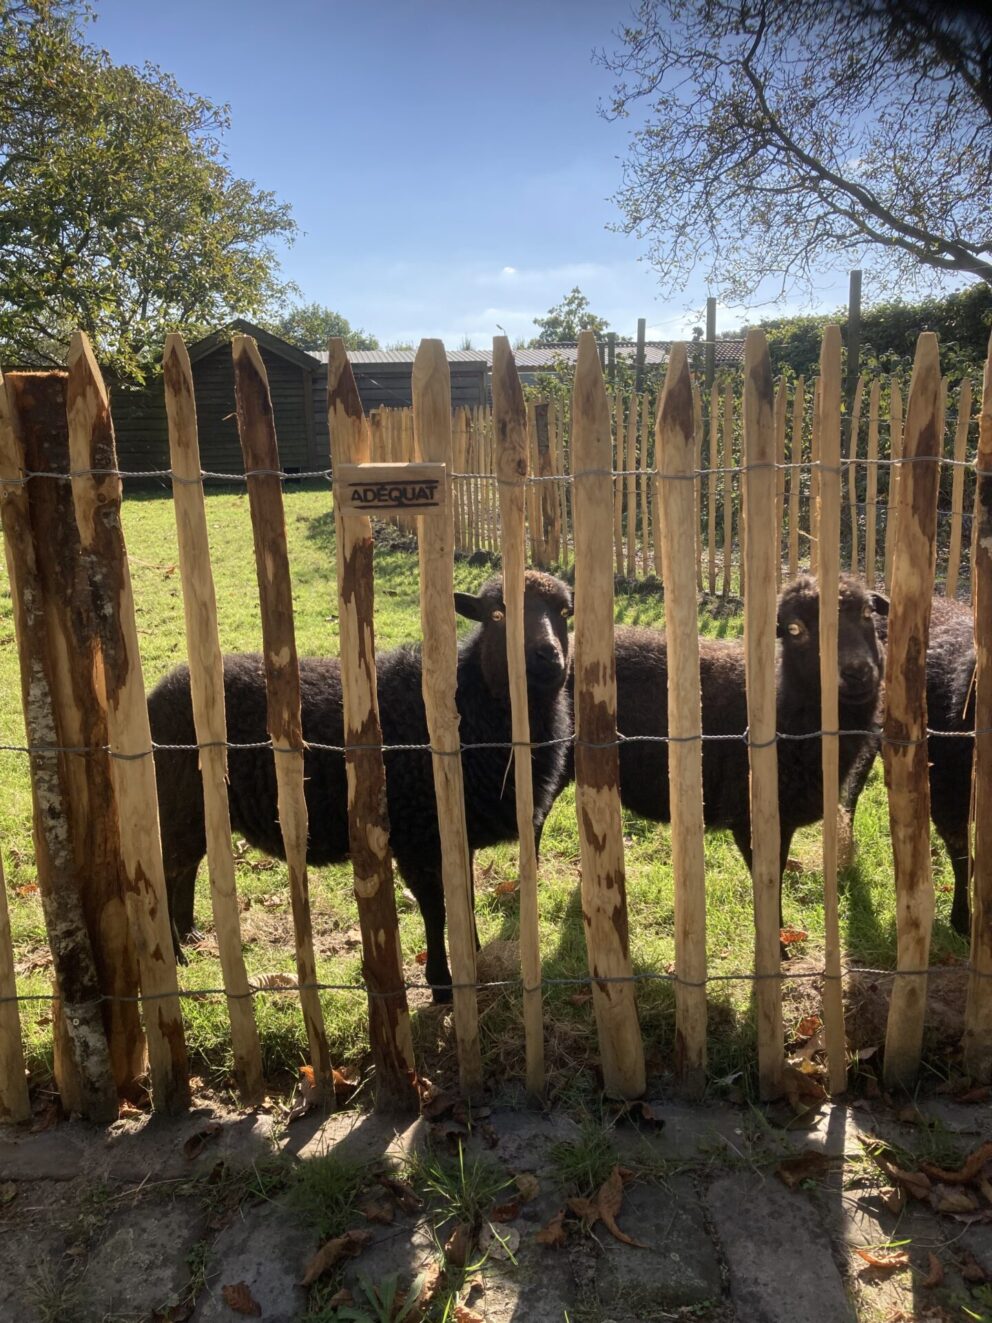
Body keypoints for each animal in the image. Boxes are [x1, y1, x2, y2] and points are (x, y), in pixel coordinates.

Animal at [147, 566, 574, 994]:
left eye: (564, 612)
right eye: (496, 615)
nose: (547, 656)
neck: (471, 706)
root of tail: (157, 693)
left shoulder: (455, 834)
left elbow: (463, 897)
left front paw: (472, 958)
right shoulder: (417, 836)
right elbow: (435, 909)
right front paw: (440, 983)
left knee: (186, 868)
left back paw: (190, 936)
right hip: (179, 805)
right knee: (168, 871)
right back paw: (178, 953)